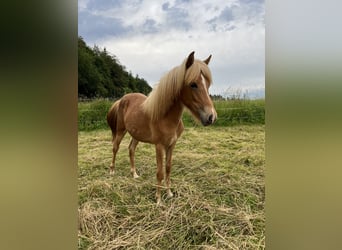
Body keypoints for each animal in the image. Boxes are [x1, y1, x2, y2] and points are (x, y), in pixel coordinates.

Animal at [107, 51, 216, 205]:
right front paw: (158, 199)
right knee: (115, 148)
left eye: (208, 84)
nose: (211, 117)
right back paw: (112, 171)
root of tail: (121, 99)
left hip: (136, 134)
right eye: (193, 84)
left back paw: (134, 174)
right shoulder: (159, 146)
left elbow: (168, 168)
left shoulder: (172, 144)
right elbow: (159, 172)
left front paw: (169, 193)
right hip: (120, 131)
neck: (166, 117)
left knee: (131, 149)